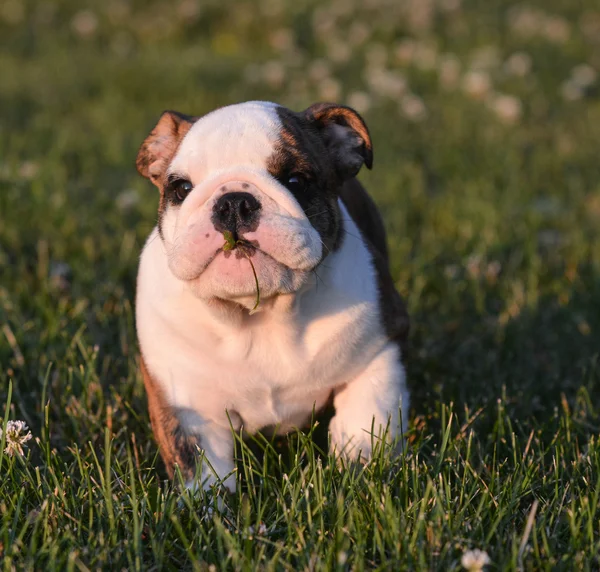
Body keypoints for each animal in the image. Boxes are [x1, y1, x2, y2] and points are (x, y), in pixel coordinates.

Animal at [135, 99, 410, 492]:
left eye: (296, 181)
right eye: (181, 189)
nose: (234, 201)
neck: (261, 314)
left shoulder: (380, 349)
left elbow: (367, 418)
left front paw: (358, 476)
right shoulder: (187, 402)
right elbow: (202, 471)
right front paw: (211, 506)